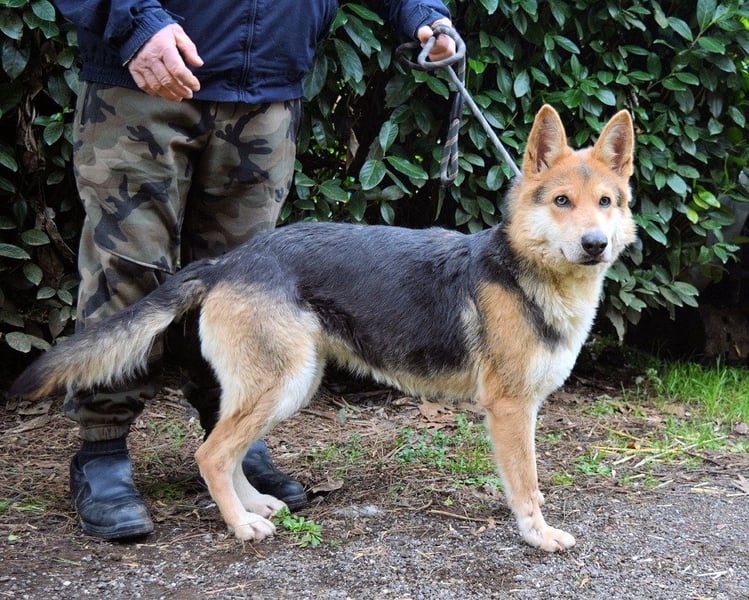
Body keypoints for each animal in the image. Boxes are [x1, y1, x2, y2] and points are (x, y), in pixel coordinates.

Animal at [10, 105, 636, 552]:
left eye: (606, 202)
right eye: (561, 201)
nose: (595, 244)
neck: (528, 271)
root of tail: (230, 261)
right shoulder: (510, 411)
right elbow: (527, 486)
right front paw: (537, 535)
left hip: (285, 384)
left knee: (223, 446)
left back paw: (254, 504)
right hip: (281, 384)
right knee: (211, 453)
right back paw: (241, 525)